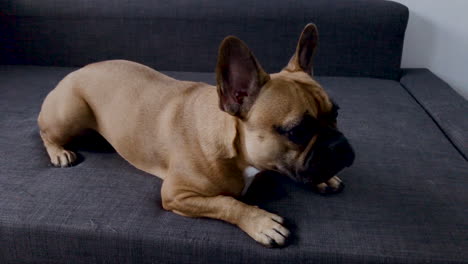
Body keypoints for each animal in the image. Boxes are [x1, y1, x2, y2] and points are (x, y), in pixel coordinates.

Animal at [38, 23, 352, 246]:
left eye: (336, 113)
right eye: (298, 131)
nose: (340, 146)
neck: (235, 149)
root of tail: (79, 70)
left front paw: (325, 179)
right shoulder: (177, 194)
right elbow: (226, 202)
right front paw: (260, 220)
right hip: (70, 114)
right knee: (45, 130)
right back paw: (59, 152)